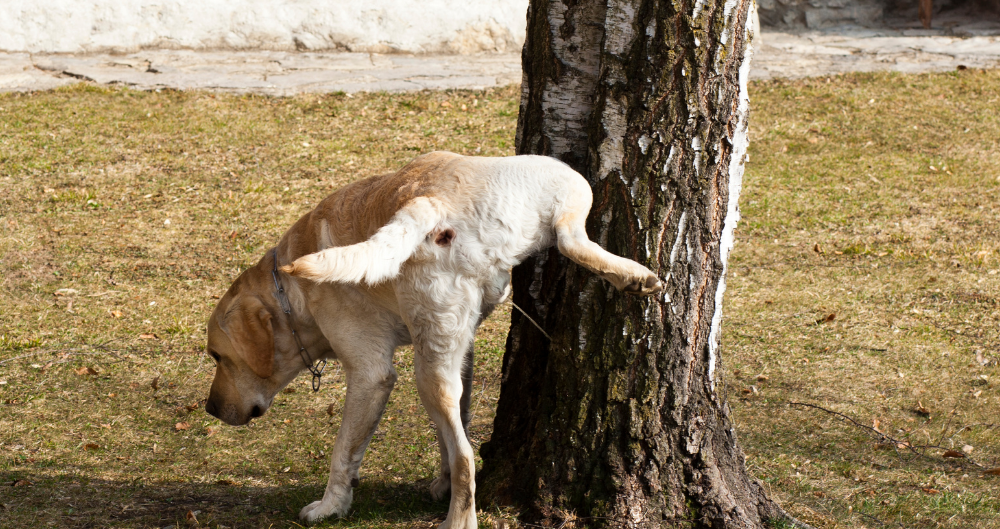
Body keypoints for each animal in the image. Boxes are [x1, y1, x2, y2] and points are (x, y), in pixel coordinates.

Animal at [203, 150, 660, 528]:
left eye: (216, 357)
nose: (209, 408)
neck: (288, 291)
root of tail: (427, 201)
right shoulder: (461, 351)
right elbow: (448, 432)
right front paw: (439, 482)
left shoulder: (370, 375)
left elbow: (344, 452)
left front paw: (330, 506)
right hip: (563, 185)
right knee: (571, 238)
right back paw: (634, 276)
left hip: (426, 371)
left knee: (466, 457)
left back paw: (458, 522)